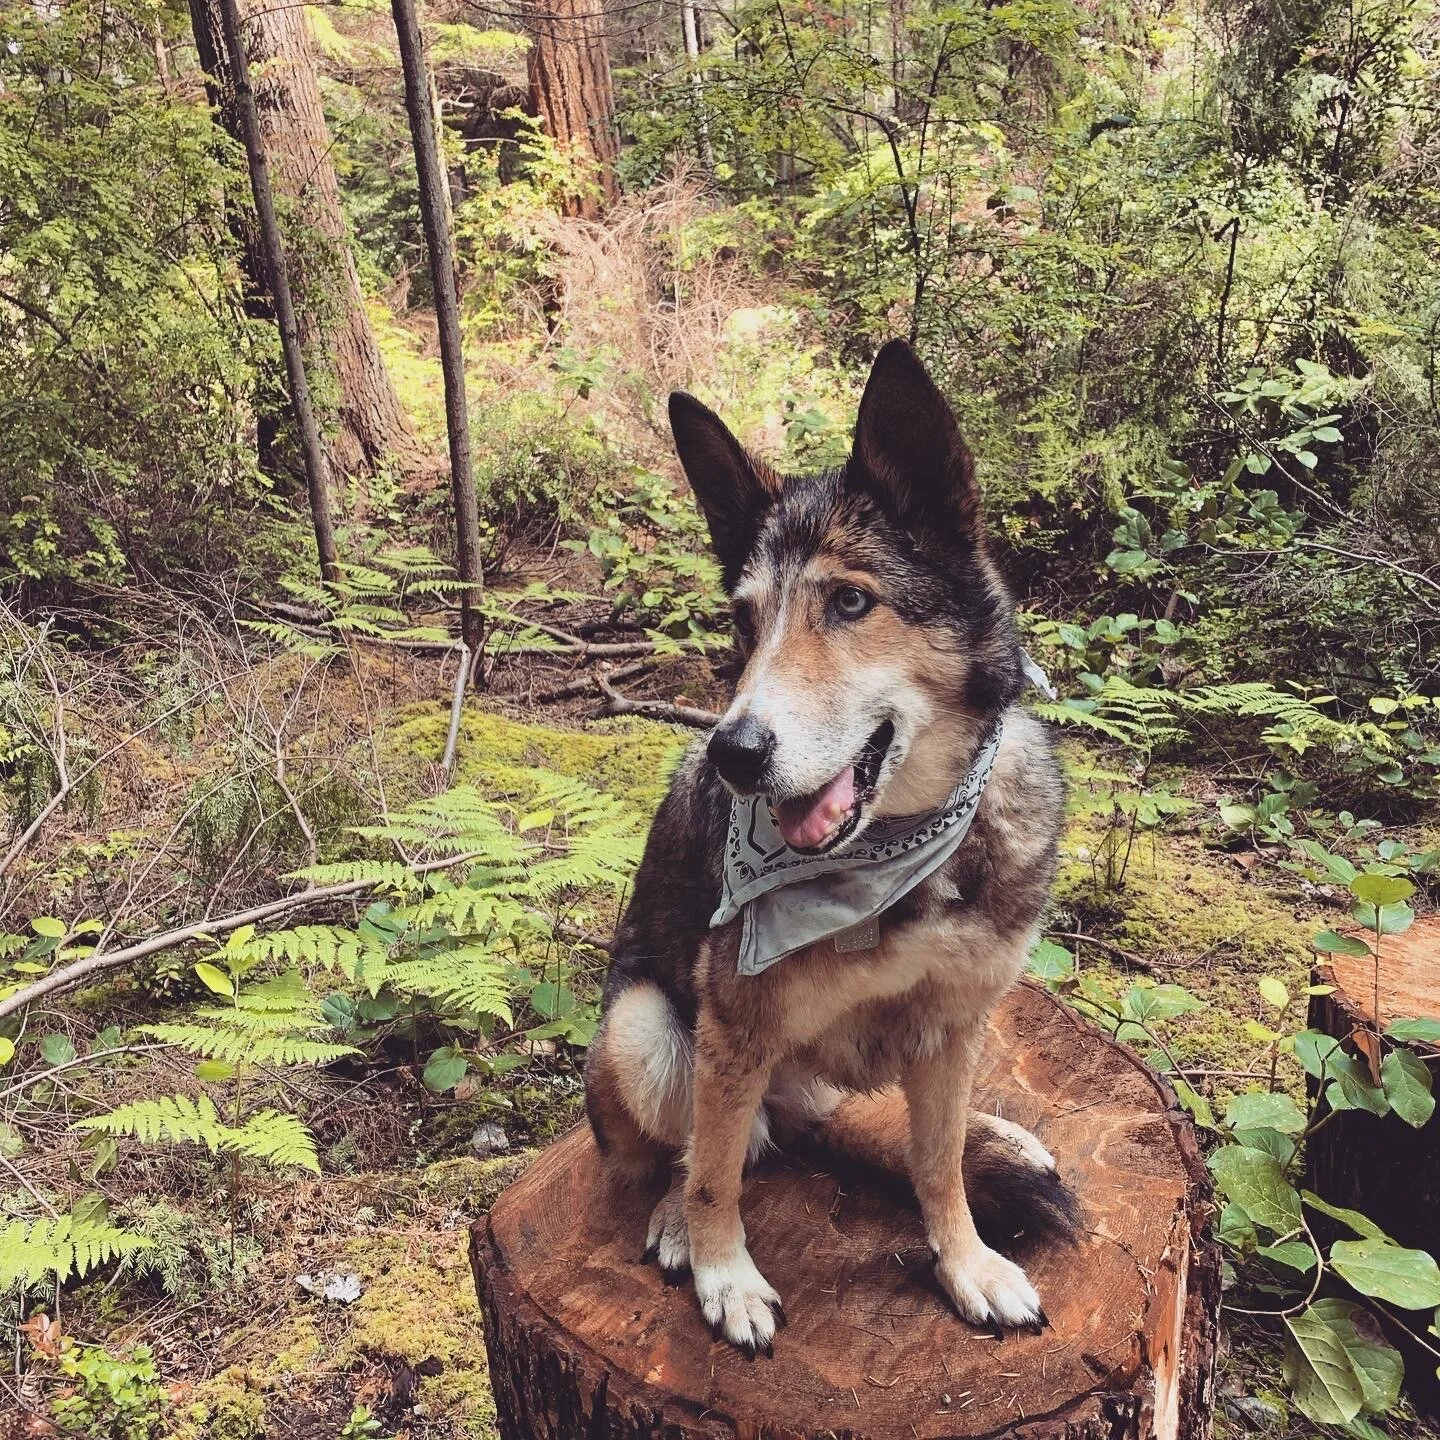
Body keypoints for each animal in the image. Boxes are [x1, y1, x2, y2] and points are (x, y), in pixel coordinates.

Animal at [583, 339, 1076, 1358]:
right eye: (743, 621)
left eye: (851, 602)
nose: (734, 754)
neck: (896, 857)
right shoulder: (734, 1028)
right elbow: (714, 1173)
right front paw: (726, 1275)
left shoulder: (956, 1020)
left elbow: (938, 1165)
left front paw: (965, 1262)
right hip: (643, 1030)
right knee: (690, 1152)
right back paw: (675, 1223)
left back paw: (1000, 1136)